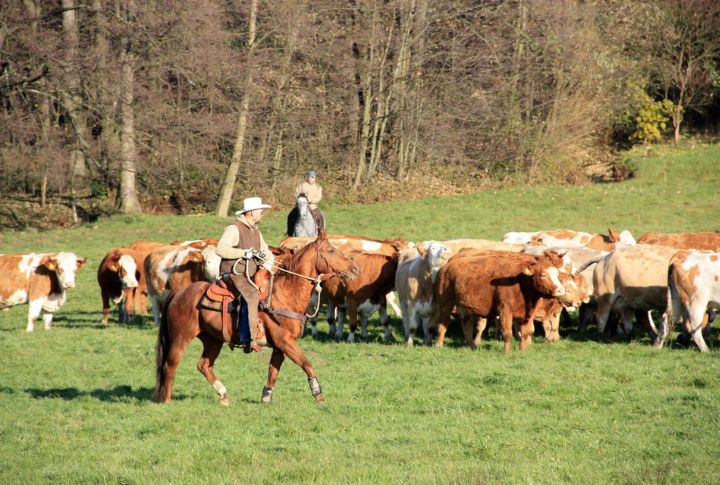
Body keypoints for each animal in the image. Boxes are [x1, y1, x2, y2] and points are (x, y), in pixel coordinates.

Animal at [432, 249, 570, 352]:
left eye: (557, 274)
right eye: (543, 275)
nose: (560, 290)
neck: (521, 282)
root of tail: (448, 265)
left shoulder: (528, 314)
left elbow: (527, 332)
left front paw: (522, 350)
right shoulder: (505, 310)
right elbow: (507, 332)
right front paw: (507, 352)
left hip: (468, 308)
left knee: (467, 326)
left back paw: (473, 346)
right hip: (446, 303)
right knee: (443, 324)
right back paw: (438, 345)